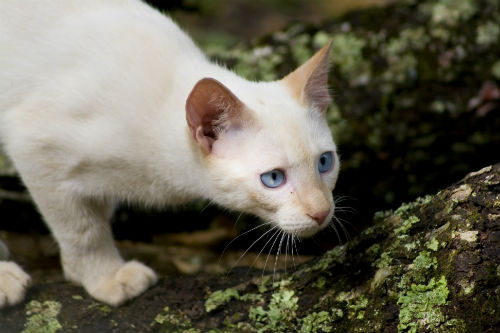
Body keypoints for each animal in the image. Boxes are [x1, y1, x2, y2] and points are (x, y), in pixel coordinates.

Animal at [0, 0, 340, 306]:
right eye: (273, 178)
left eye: (325, 162)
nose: (321, 213)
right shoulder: (34, 146)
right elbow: (83, 230)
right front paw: (105, 277)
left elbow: (95, 213)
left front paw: (76, 271)